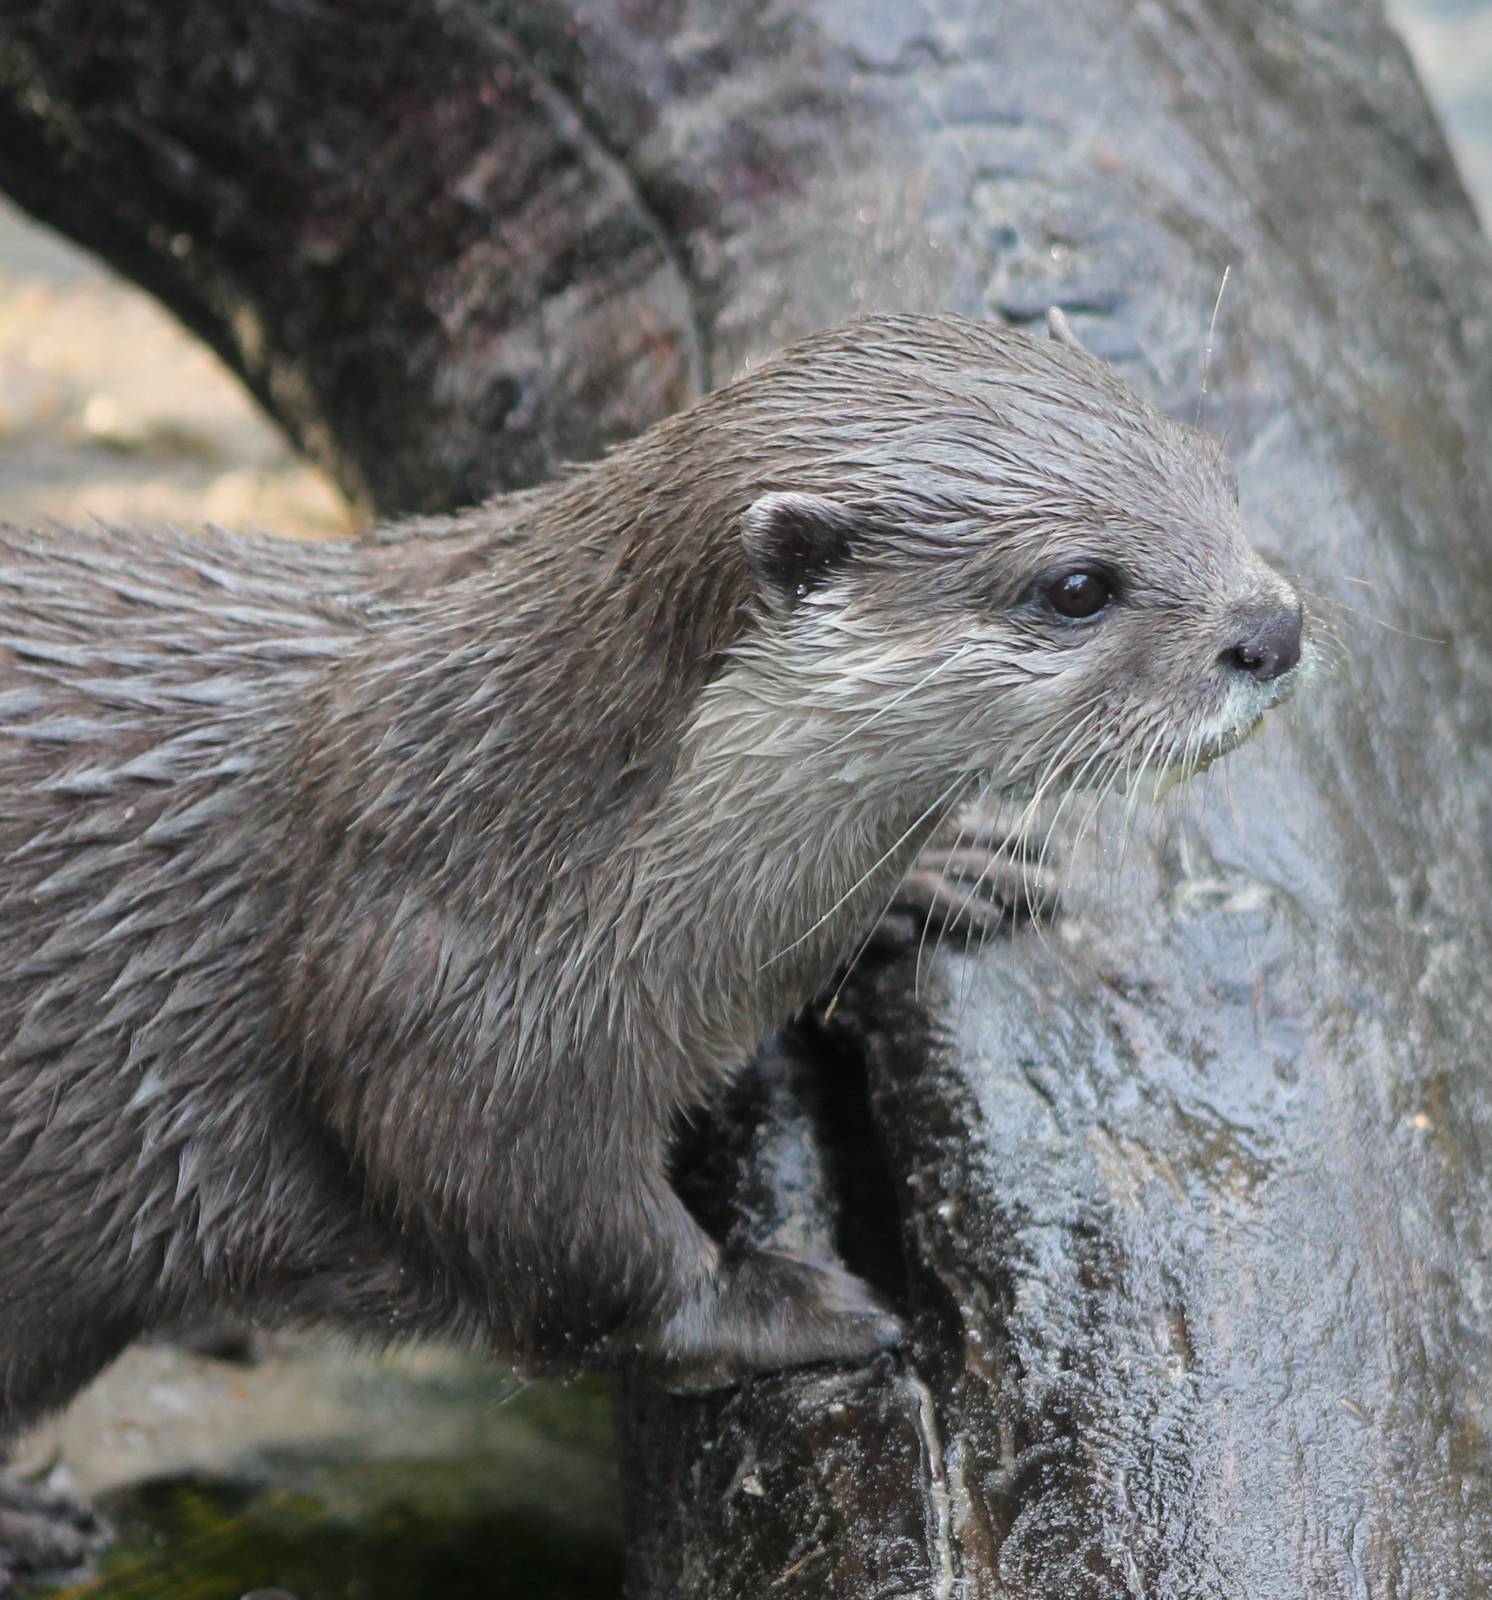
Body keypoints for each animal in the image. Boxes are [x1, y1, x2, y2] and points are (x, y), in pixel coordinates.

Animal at [0, 311, 1304, 1588]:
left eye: (1215, 472)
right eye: (1078, 586)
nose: (1273, 629)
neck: (545, 805)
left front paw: (942, 870)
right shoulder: (432, 978)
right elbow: (541, 1226)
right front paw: (776, 1300)